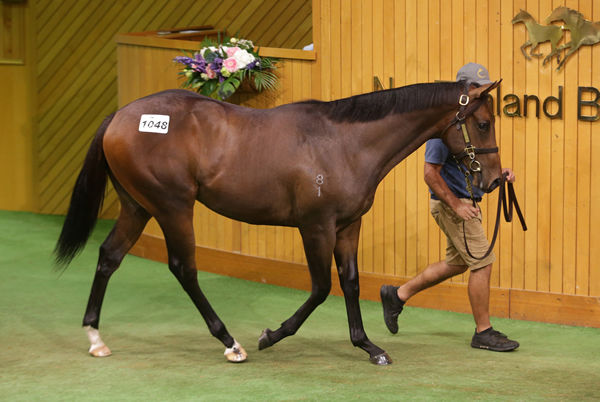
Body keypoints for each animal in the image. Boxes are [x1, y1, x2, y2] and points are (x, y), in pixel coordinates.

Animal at [55, 80, 502, 366]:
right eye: (483, 123)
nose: (495, 180)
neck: (344, 144)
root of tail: (120, 116)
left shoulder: (347, 226)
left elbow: (351, 283)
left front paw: (368, 346)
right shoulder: (315, 226)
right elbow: (321, 288)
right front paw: (271, 336)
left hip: (138, 206)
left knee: (109, 256)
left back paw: (95, 338)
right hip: (172, 206)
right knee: (184, 268)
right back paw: (230, 342)